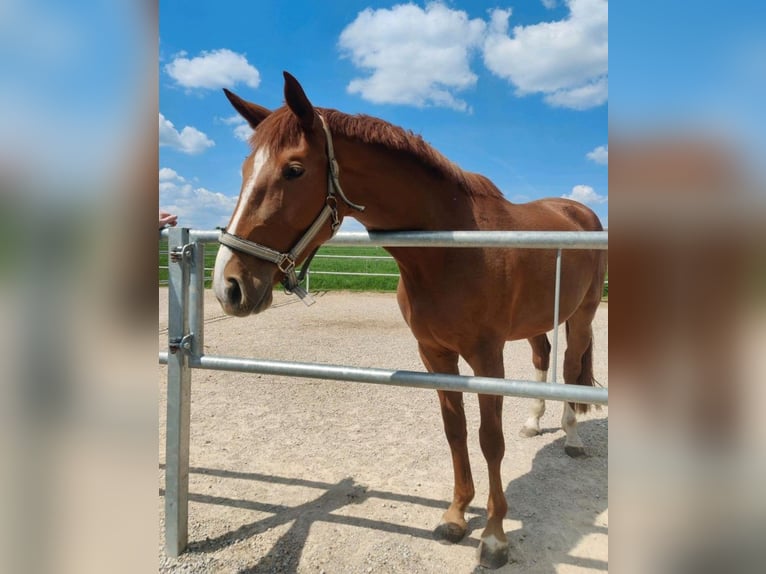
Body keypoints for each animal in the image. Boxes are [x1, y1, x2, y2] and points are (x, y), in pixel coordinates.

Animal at [212, 72, 606, 569]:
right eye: (246, 171)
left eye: (294, 170)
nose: (228, 286)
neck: (448, 249)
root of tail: (580, 211)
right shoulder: (435, 355)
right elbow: (456, 433)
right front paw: (456, 515)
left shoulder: (486, 358)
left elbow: (490, 439)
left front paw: (494, 537)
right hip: (537, 322)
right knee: (543, 358)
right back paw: (535, 423)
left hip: (582, 315)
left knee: (572, 367)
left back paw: (572, 438)